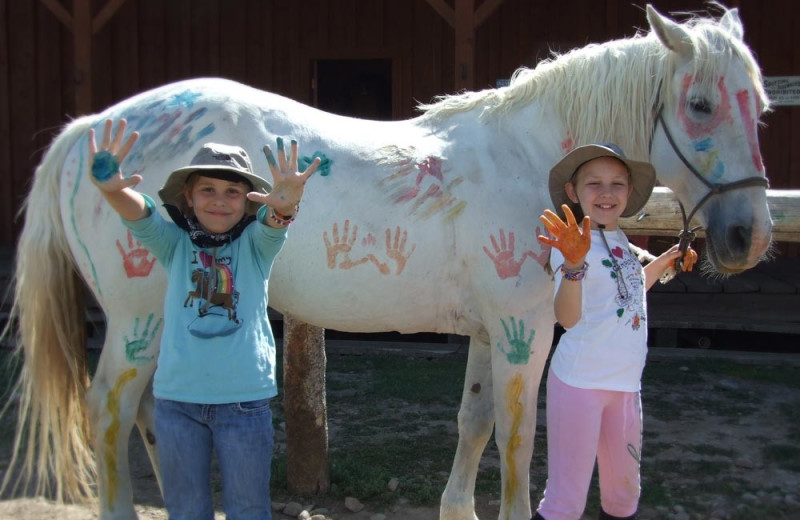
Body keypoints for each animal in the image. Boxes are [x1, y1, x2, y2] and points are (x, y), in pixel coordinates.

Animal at [3, 5, 772, 520]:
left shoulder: (493, 332)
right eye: (699, 102)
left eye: (761, 106)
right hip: (137, 320)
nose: (749, 237)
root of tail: (90, 131)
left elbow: (476, 422)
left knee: (148, 414)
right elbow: (516, 441)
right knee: (110, 411)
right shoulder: (525, 333)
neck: (526, 159)